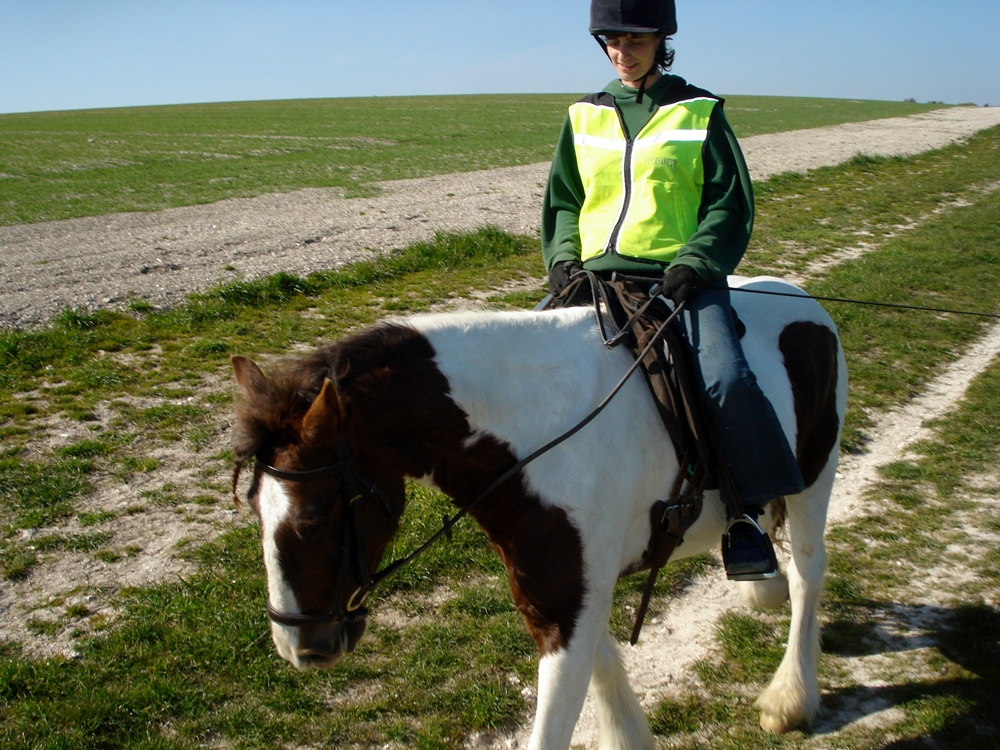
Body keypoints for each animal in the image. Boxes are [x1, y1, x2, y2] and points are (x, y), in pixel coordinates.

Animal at [230, 275, 847, 750]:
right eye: (254, 511)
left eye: (315, 517)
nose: (299, 648)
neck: (538, 433)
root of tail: (802, 299)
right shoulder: (561, 593)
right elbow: (602, 660)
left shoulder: (568, 602)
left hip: (816, 475)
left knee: (809, 570)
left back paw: (792, 694)